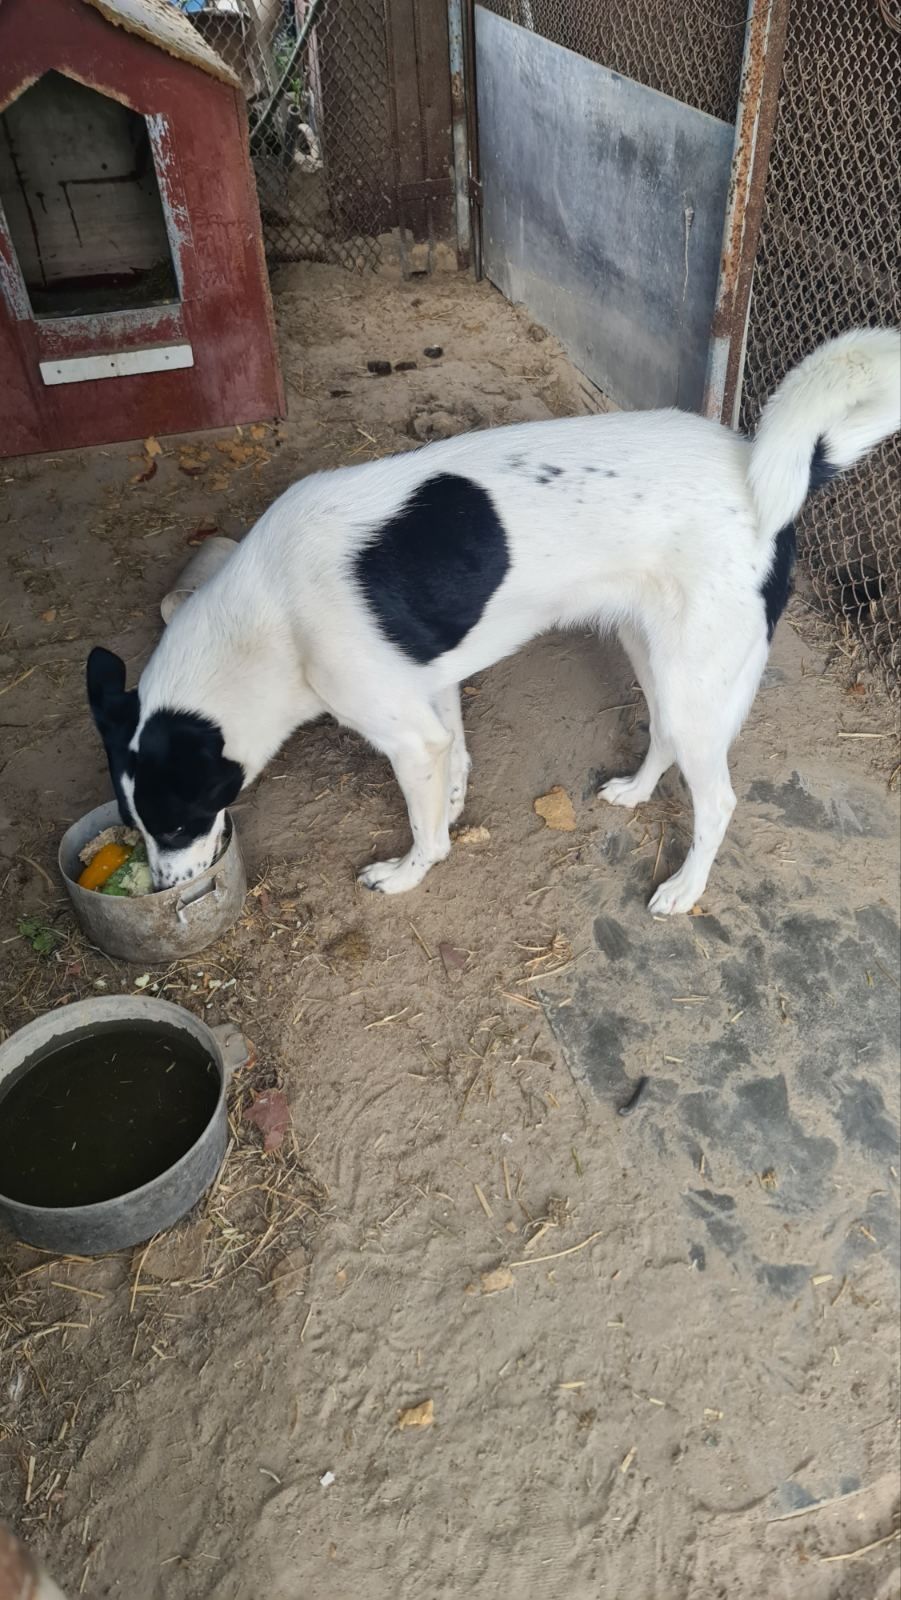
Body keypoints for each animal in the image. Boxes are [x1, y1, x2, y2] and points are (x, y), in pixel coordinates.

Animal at [88, 328, 896, 915]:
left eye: (175, 823)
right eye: (136, 824)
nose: (162, 890)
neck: (268, 617)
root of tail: (761, 464)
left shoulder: (404, 732)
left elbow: (423, 824)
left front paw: (411, 870)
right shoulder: (430, 697)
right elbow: (452, 770)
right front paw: (449, 814)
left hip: (697, 675)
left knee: (719, 799)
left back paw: (683, 889)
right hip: (656, 655)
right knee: (664, 733)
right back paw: (635, 793)